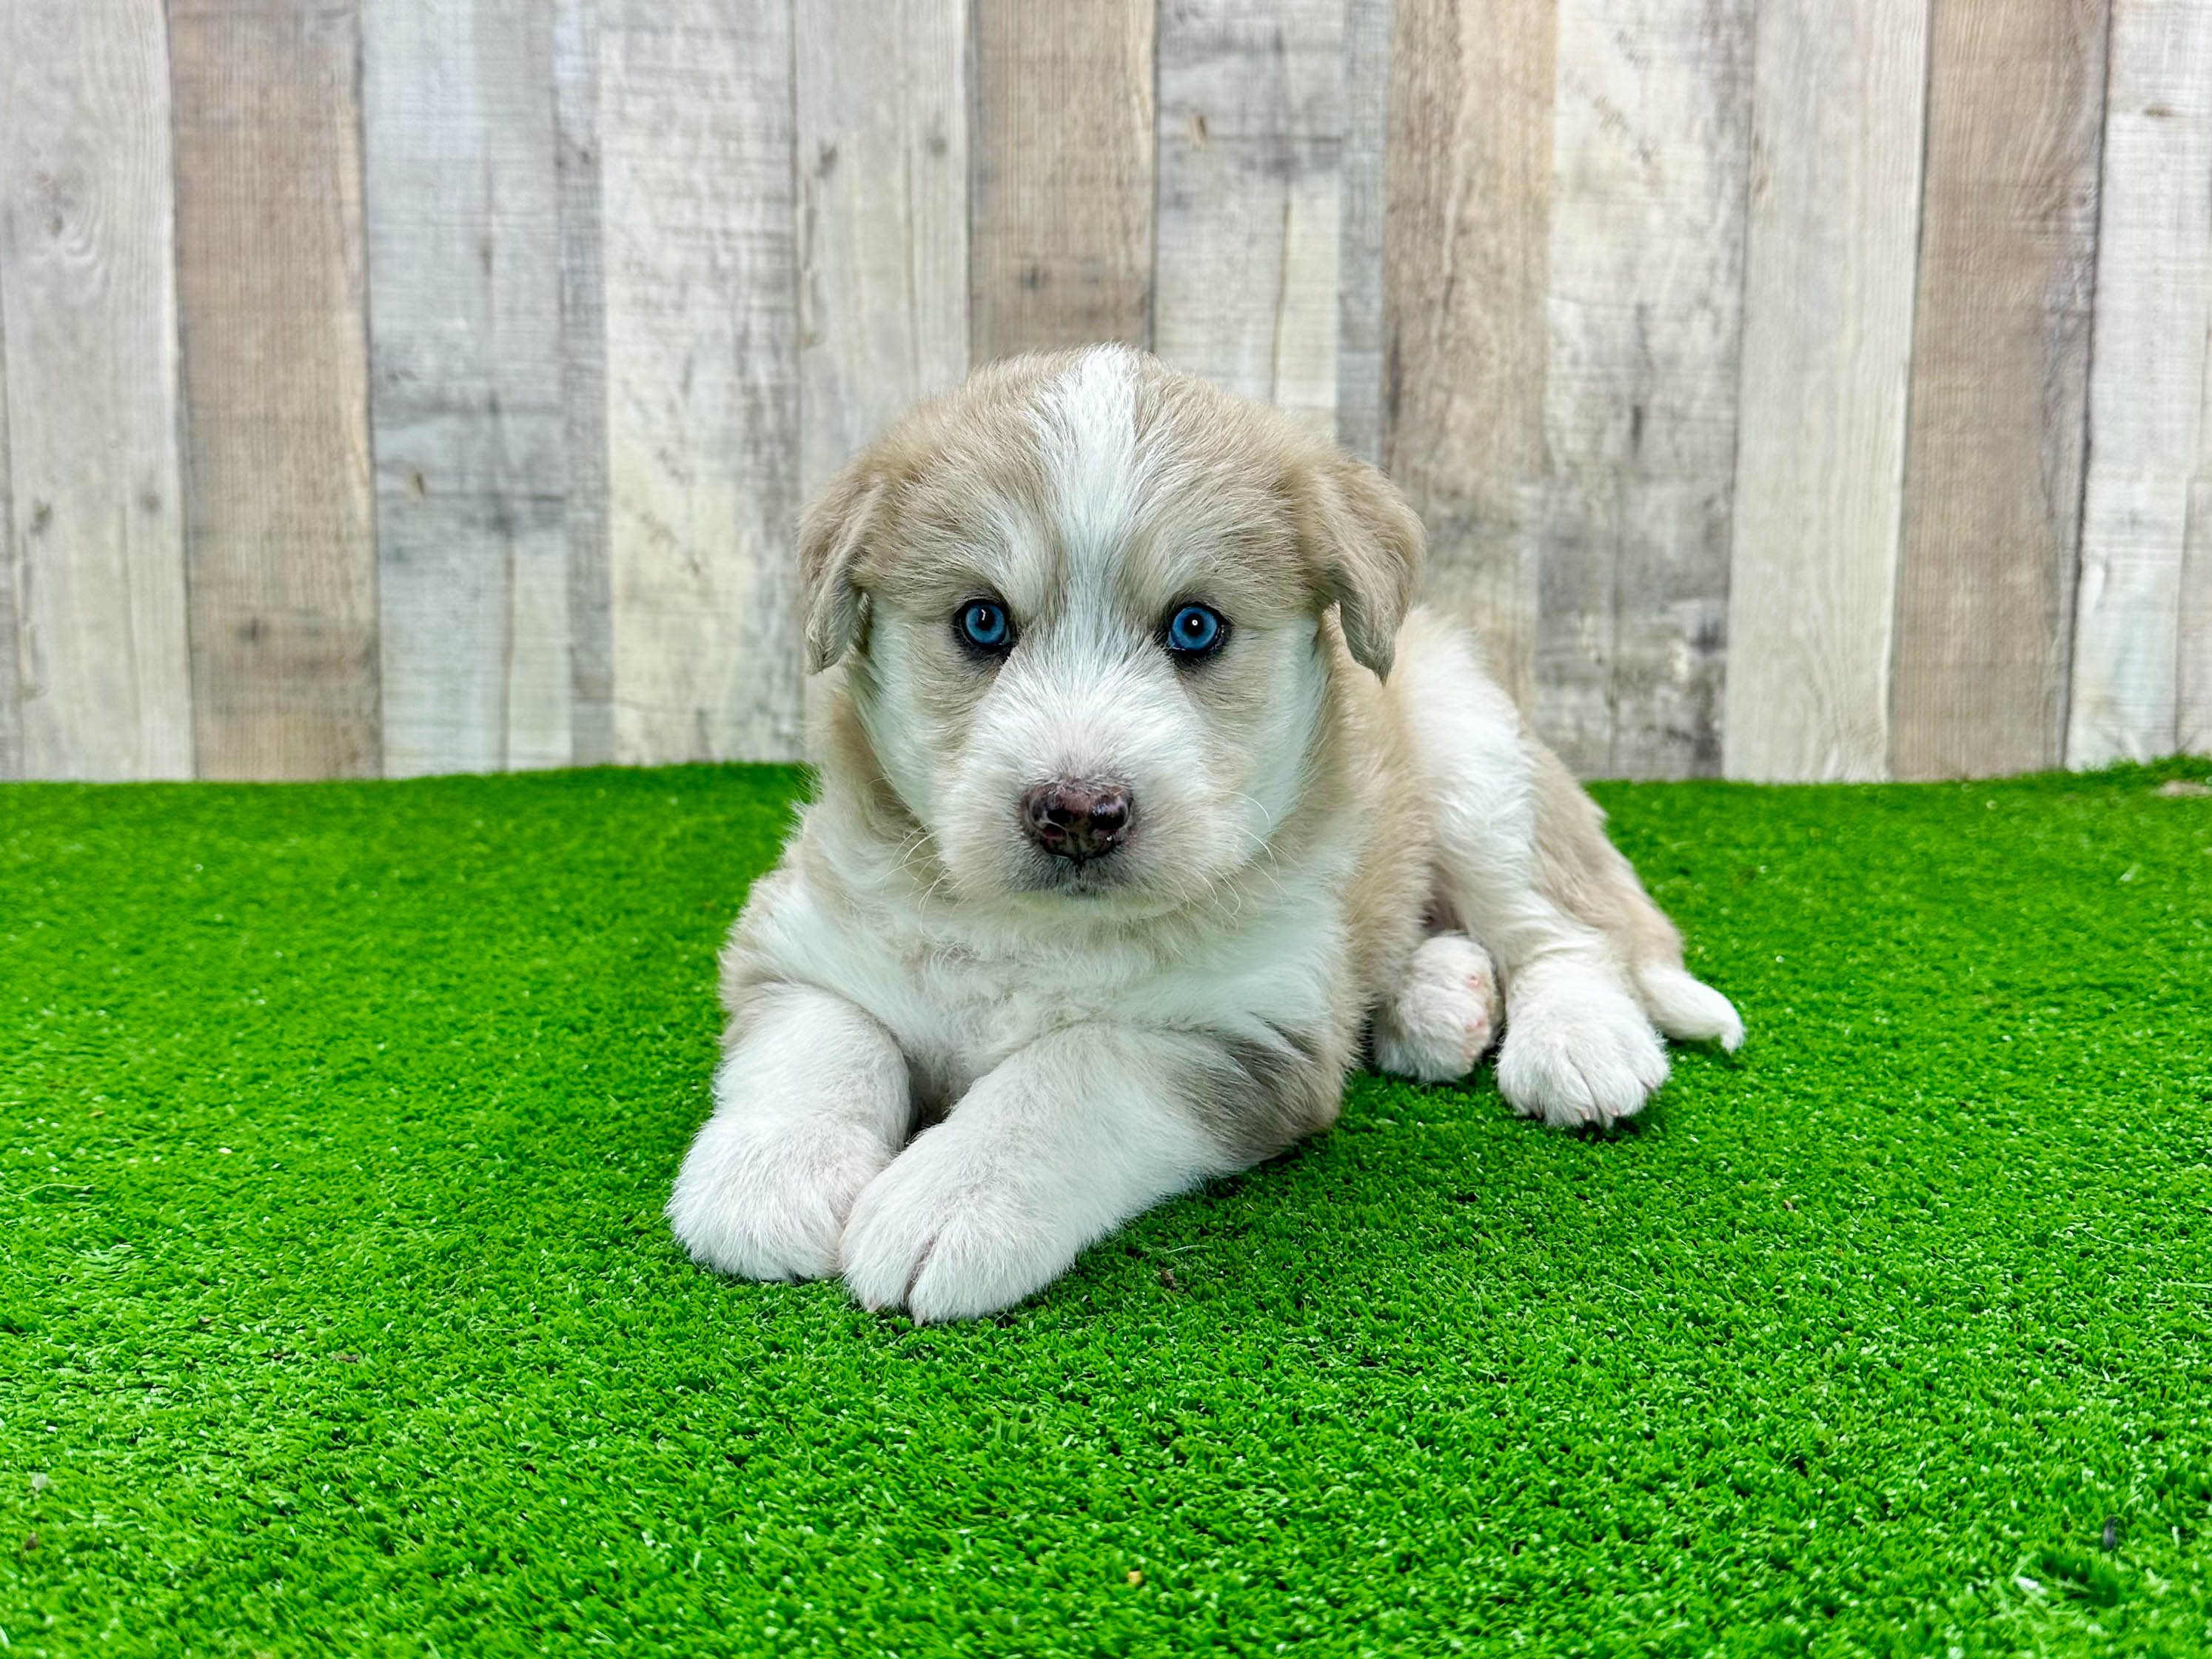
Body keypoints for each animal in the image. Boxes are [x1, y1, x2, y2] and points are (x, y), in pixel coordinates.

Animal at [663, 347, 1734, 1327]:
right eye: (982, 622)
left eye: (1193, 627)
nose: (1079, 811)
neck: (1043, 935)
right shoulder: (803, 936)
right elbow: (826, 1037)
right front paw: (770, 1175)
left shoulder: (1250, 1036)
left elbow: (1074, 1067)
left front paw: (951, 1199)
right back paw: (1437, 1000)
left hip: (1476, 766)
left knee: (1567, 925)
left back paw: (1581, 1040)